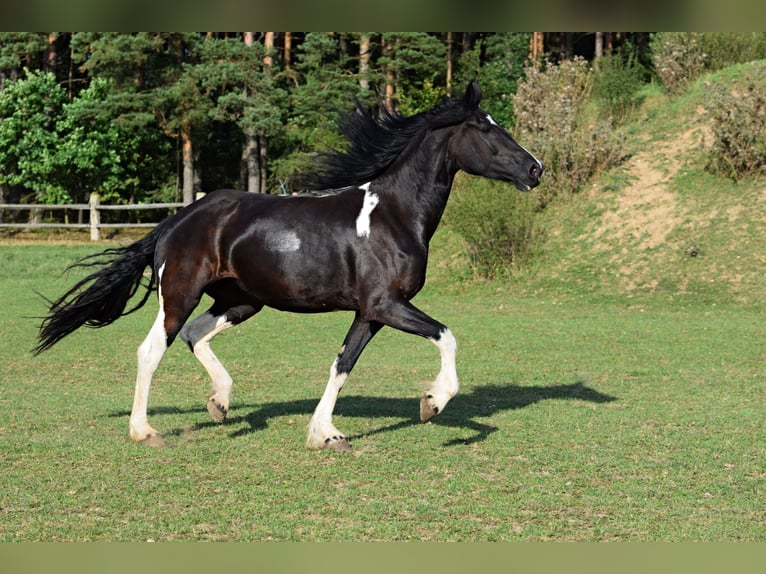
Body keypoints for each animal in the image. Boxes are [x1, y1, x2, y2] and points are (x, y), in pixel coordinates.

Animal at [34, 79, 540, 452]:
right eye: (487, 129)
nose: (535, 169)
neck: (394, 215)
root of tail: (178, 219)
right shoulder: (387, 305)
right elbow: (446, 336)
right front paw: (432, 402)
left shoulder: (370, 313)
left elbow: (342, 364)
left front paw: (326, 434)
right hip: (180, 293)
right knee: (153, 348)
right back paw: (145, 431)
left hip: (241, 301)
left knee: (196, 335)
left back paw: (220, 403)